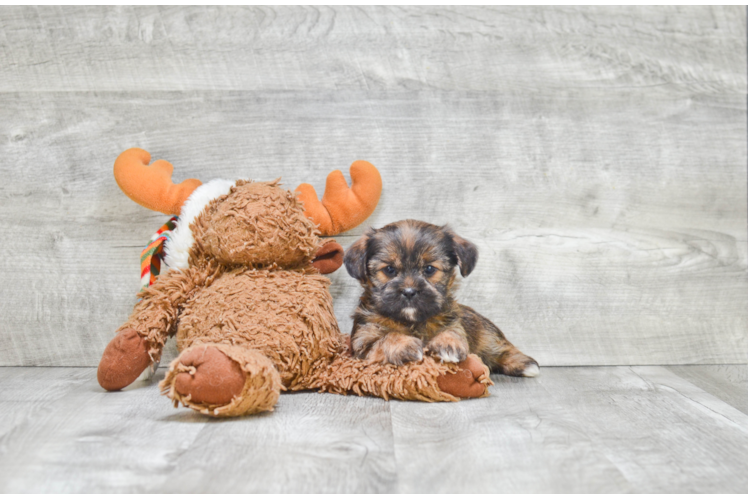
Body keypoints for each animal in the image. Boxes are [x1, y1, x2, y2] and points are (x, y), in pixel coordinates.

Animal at [344, 221, 536, 376]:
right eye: (389, 270)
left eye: (429, 269)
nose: (409, 291)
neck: (412, 321)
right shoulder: (363, 341)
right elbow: (386, 339)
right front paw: (406, 345)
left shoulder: (454, 322)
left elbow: (452, 331)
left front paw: (448, 344)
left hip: (486, 335)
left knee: (499, 349)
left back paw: (525, 365)